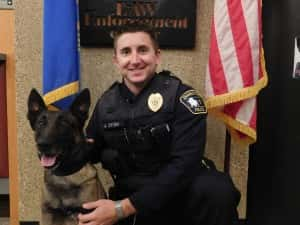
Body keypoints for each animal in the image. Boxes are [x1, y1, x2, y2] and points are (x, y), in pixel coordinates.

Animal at [27, 89, 106, 224]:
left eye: (64, 123)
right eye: (41, 123)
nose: (43, 144)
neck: (64, 176)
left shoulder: (88, 216)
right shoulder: (47, 214)